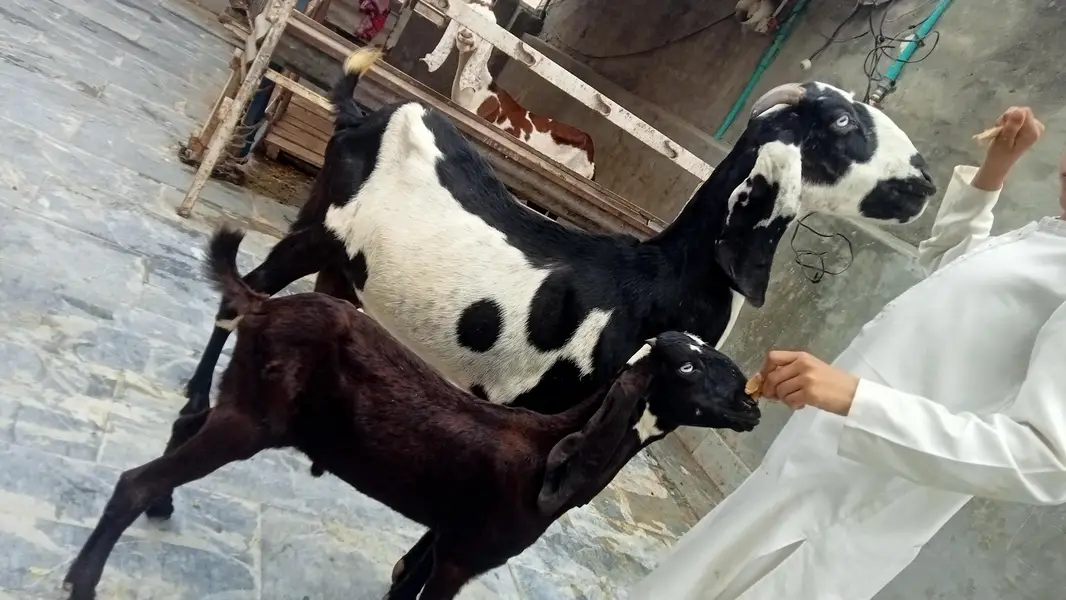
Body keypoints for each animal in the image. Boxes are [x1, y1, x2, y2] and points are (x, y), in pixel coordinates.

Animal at [62, 226, 759, 600]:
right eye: (688, 369)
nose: (752, 403)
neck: (548, 452)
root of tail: (264, 307)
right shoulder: (462, 556)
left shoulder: (443, 534)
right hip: (250, 421)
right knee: (133, 481)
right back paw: (84, 576)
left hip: (240, 400)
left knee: (180, 430)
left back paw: (160, 508)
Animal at [175, 48, 935, 496]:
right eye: (842, 121)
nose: (925, 181)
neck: (659, 281)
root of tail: (364, 115)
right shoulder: (538, 406)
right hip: (315, 229)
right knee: (249, 291)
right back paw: (190, 415)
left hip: (346, 265)